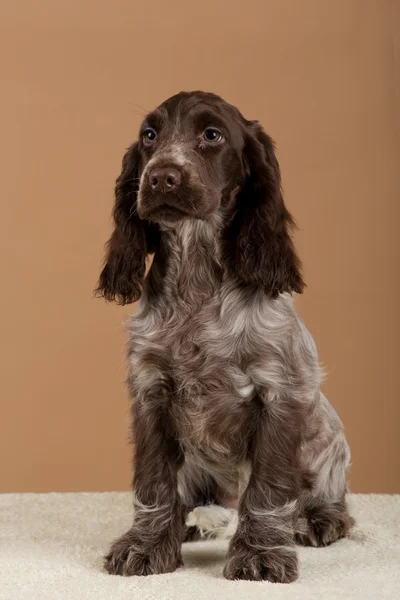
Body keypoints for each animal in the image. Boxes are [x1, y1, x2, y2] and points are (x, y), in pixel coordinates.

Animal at [97, 90, 354, 580]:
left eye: (212, 135)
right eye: (150, 135)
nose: (160, 177)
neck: (197, 278)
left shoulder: (281, 392)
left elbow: (268, 489)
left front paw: (260, 554)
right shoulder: (150, 391)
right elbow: (154, 482)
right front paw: (146, 545)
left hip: (326, 436)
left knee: (327, 496)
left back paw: (319, 519)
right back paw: (191, 522)